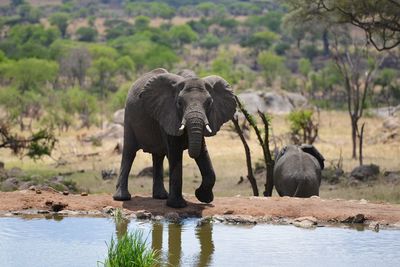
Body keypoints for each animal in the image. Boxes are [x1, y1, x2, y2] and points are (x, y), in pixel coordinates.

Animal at [112, 68, 236, 208]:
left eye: (209, 103)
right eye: (179, 103)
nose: (197, 191)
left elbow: (203, 153)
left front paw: (203, 198)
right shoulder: (169, 114)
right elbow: (175, 153)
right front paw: (177, 205)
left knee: (158, 156)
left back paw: (160, 197)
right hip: (129, 117)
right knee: (129, 152)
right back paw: (122, 198)